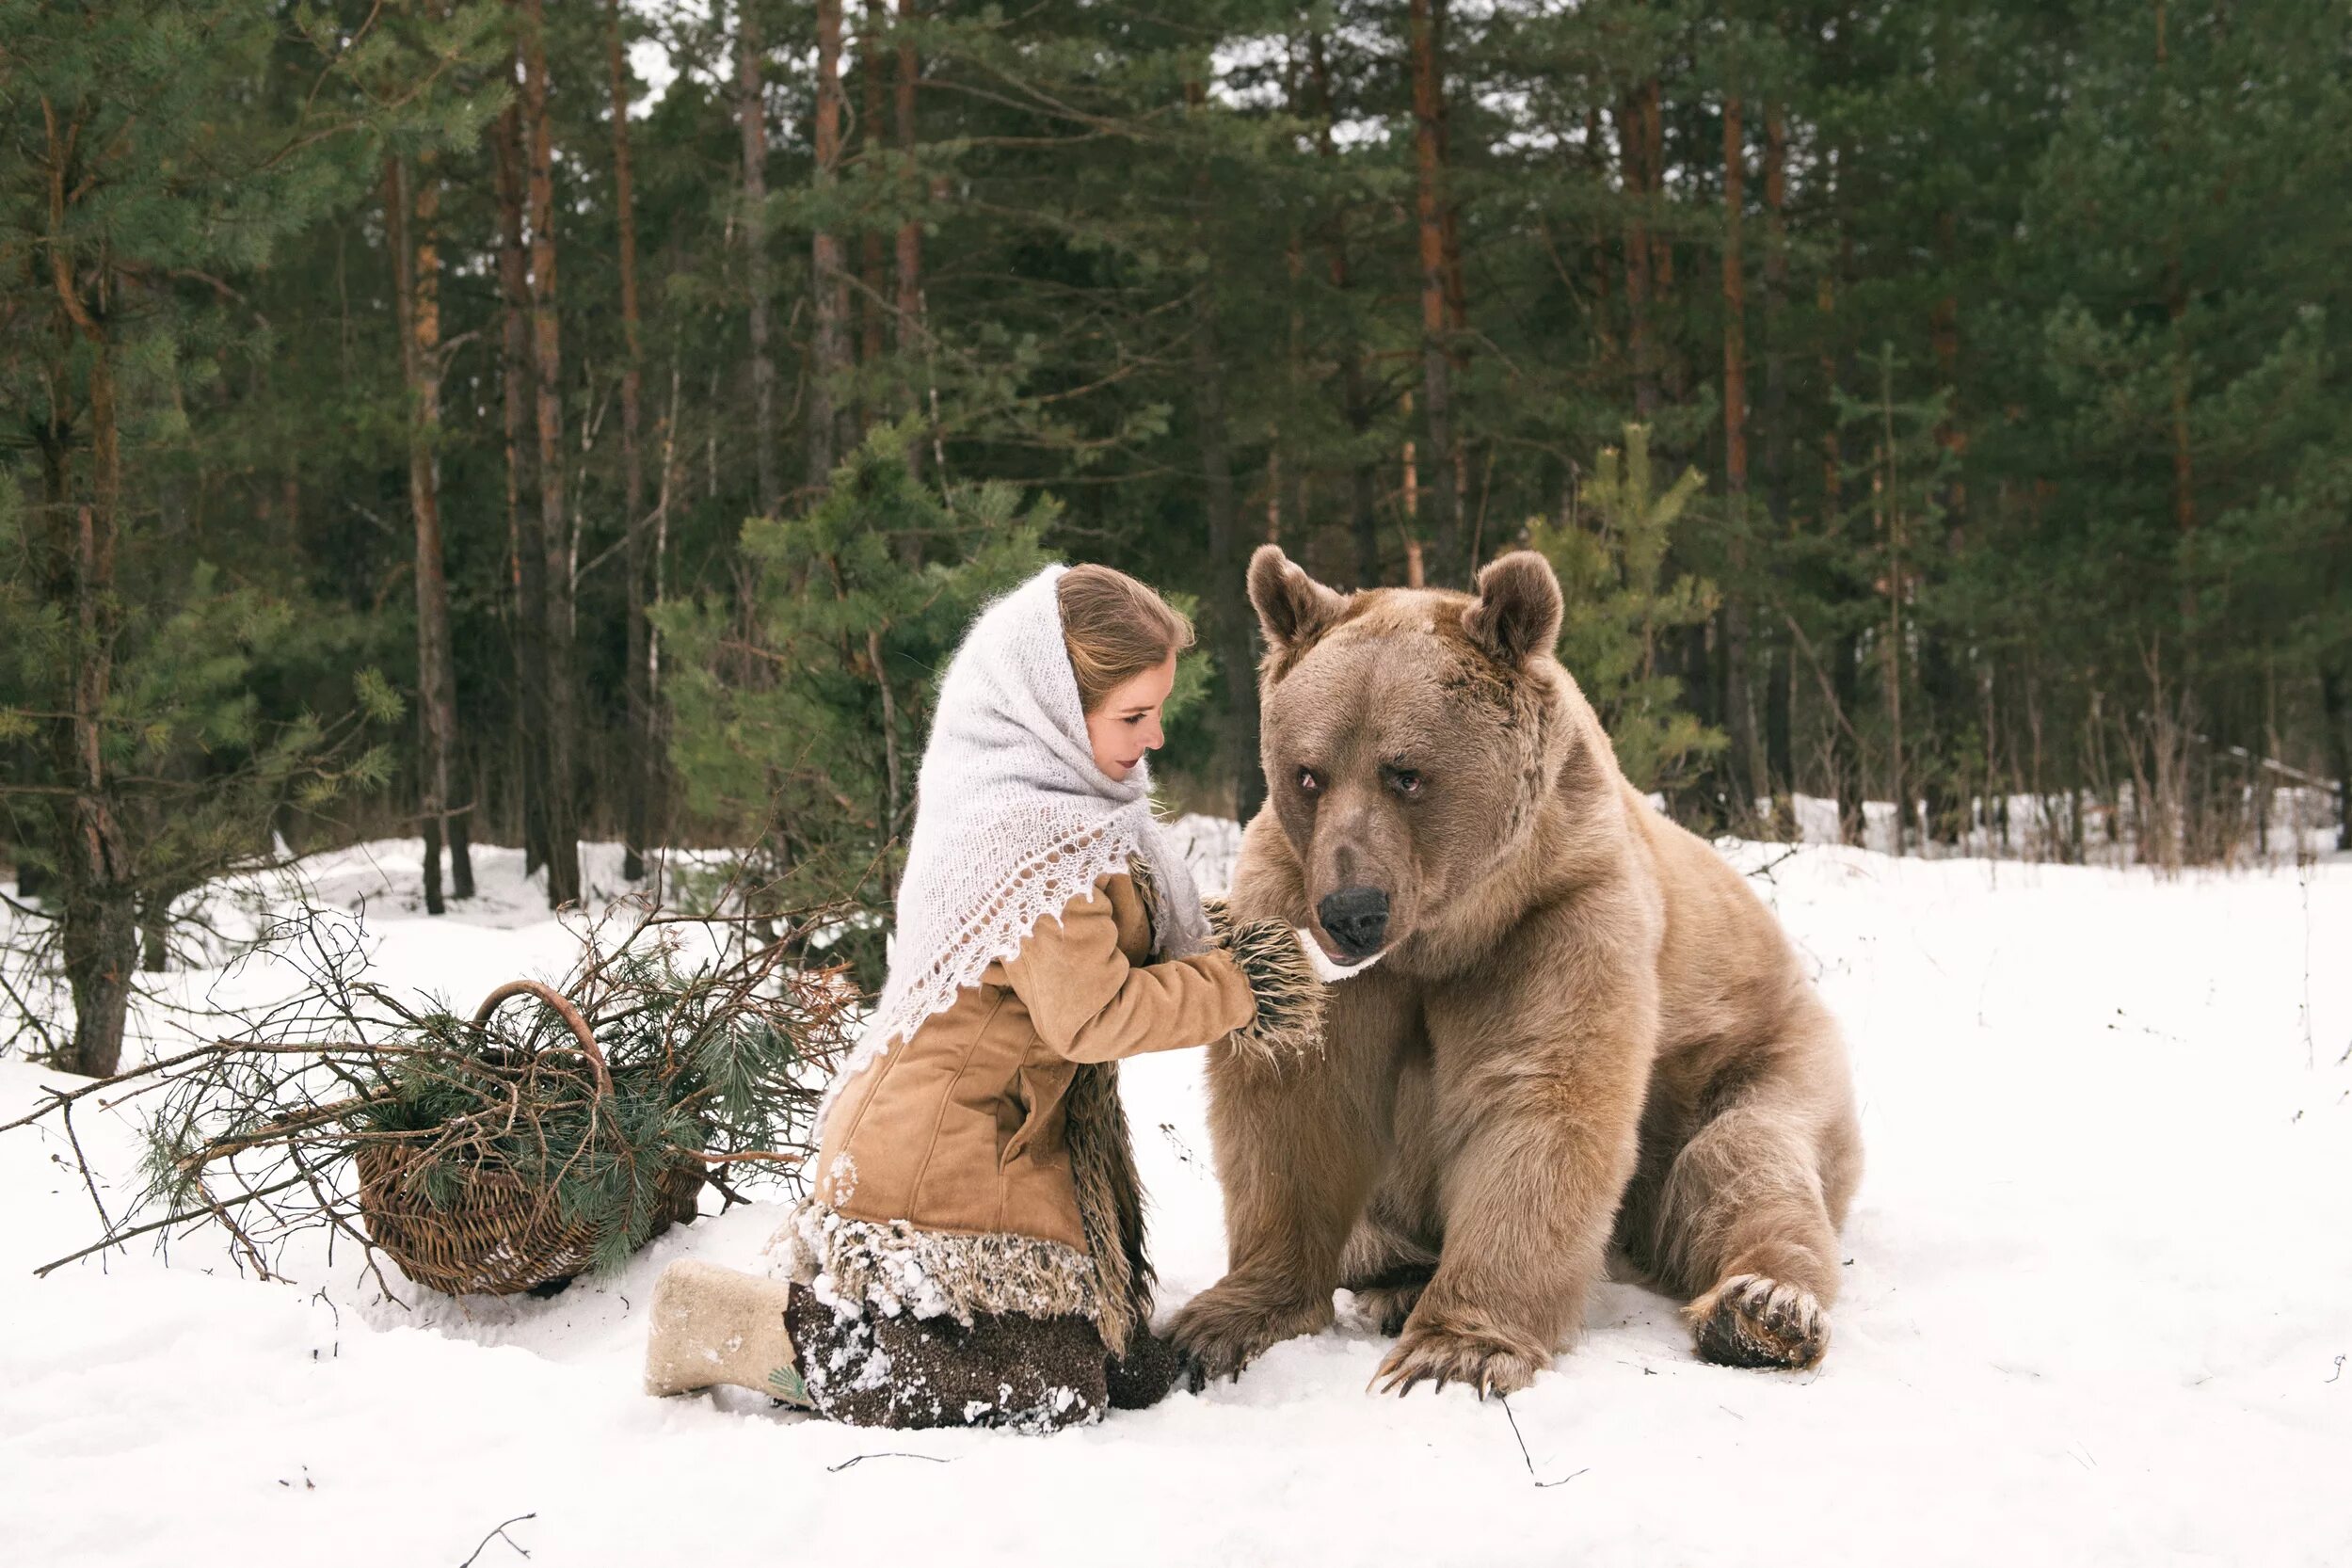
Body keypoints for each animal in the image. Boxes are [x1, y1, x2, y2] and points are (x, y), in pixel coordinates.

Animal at [1166, 550, 1863, 1400]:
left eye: (1405, 772)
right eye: (1307, 773)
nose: (1352, 911)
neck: (1441, 936)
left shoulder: (1554, 916)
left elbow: (1539, 1093)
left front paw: (1455, 1351)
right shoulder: (1294, 909)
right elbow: (1295, 1096)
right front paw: (1221, 1323)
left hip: (1761, 1053)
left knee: (1743, 1159)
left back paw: (1763, 1309)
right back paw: (1395, 1273)